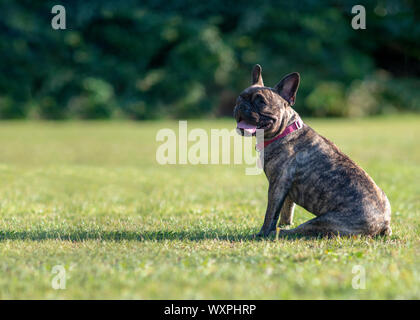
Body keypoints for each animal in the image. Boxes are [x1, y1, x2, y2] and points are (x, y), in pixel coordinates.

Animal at [235, 64, 392, 238]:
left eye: (261, 102)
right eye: (240, 97)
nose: (241, 105)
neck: (285, 131)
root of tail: (382, 223)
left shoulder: (277, 185)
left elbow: (270, 213)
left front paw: (263, 233)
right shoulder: (286, 191)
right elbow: (286, 210)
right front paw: (284, 223)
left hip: (321, 222)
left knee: (298, 231)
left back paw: (279, 233)